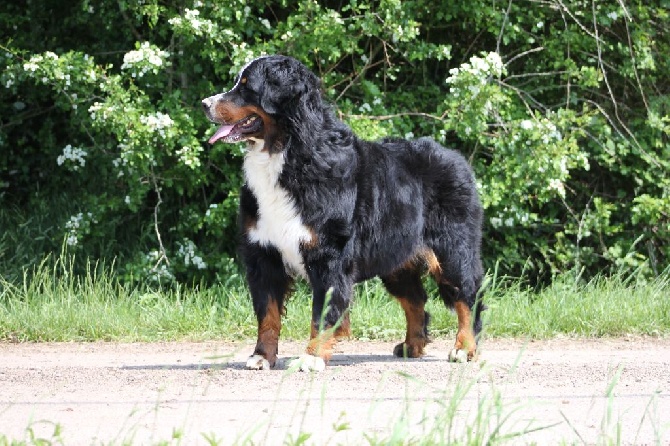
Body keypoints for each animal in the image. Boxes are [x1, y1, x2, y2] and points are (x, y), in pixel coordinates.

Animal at [202, 55, 486, 370]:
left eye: (246, 86)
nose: (204, 103)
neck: (287, 155)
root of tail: (456, 157)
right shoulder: (264, 253)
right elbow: (268, 314)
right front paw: (262, 356)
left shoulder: (329, 256)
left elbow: (322, 313)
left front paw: (312, 357)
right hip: (395, 257)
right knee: (416, 300)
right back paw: (412, 345)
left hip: (452, 248)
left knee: (467, 296)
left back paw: (464, 348)